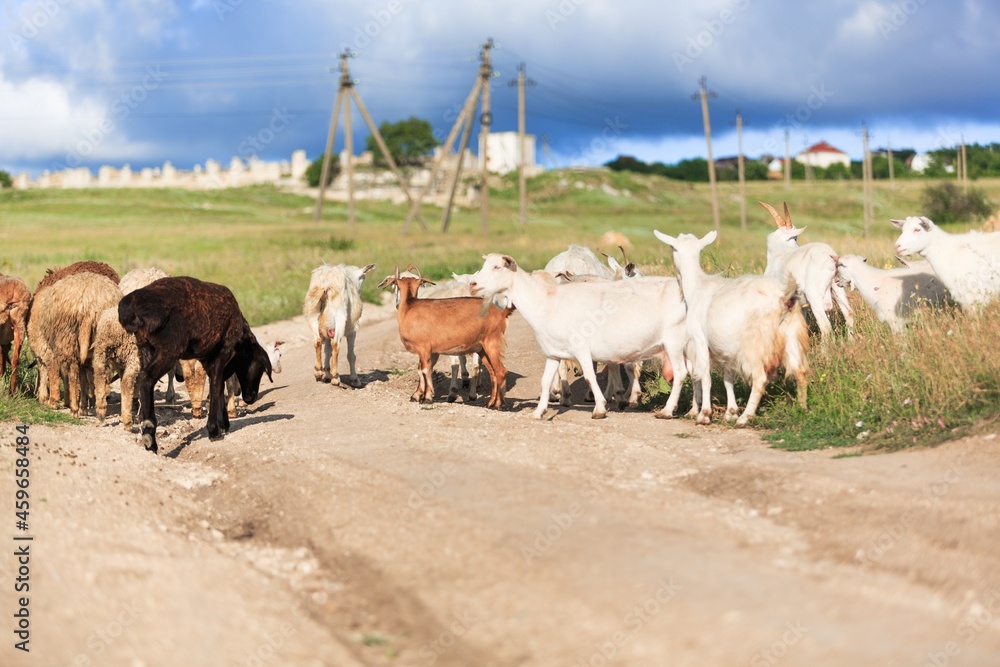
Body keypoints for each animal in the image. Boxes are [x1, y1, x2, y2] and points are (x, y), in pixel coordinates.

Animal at [378, 266, 512, 408]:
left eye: (395, 284)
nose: (397, 304)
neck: (410, 307)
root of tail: (501, 313)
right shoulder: (429, 351)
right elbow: (422, 368)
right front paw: (418, 395)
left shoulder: (424, 347)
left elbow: (425, 369)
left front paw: (426, 397)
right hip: (482, 348)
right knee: (491, 372)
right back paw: (489, 402)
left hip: (492, 343)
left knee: (500, 371)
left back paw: (495, 404)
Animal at [468, 253, 688, 420]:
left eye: (497, 267)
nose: (472, 284)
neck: (545, 303)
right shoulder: (553, 353)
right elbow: (545, 381)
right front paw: (539, 412)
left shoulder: (581, 348)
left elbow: (590, 376)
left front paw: (599, 408)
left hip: (675, 342)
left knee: (680, 373)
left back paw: (667, 410)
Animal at [652, 230, 808, 428]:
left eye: (672, 247)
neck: (697, 286)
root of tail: (785, 299)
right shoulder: (726, 348)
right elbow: (728, 379)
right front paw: (730, 412)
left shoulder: (700, 339)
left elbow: (705, 376)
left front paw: (705, 414)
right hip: (792, 336)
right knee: (801, 372)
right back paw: (802, 409)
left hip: (755, 344)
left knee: (760, 379)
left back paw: (745, 418)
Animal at [760, 202, 856, 340]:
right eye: (795, 238)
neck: (778, 254)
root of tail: (830, 256)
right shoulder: (801, 305)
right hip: (838, 289)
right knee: (849, 314)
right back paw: (851, 342)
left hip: (814, 294)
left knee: (825, 326)